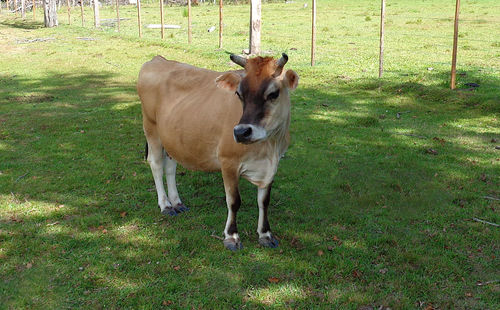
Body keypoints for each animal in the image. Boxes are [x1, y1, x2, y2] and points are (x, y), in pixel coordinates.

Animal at [137, 53, 298, 251]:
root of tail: (158, 59)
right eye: (239, 94)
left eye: (273, 94)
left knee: (170, 167)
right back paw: (166, 205)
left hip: (171, 136)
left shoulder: (272, 166)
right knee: (157, 164)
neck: (269, 148)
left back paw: (177, 203)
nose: (241, 132)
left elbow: (264, 201)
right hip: (151, 128)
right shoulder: (228, 161)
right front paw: (231, 237)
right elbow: (234, 201)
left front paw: (265, 235)